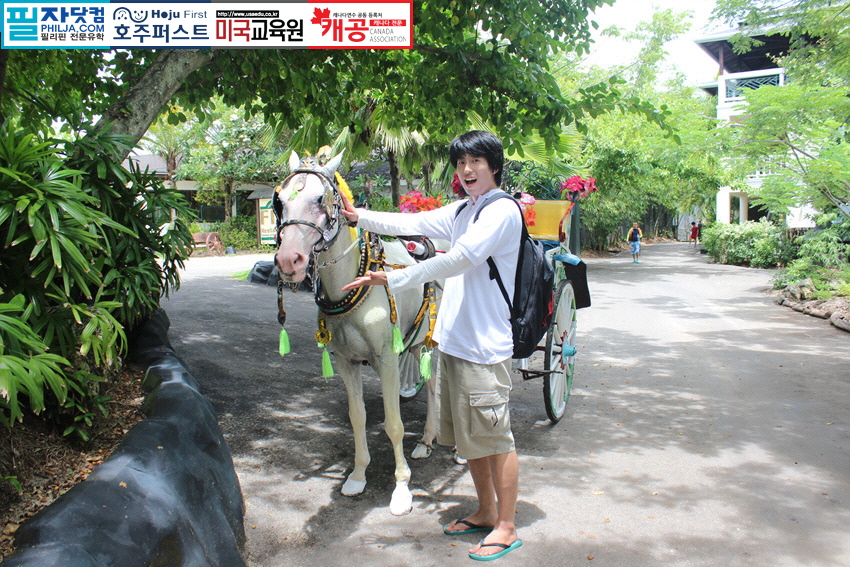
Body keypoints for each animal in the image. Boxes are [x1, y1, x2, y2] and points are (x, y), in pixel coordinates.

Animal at [273, 150, 440, 516]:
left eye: (320, 200)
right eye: (279, 202)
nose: (289, 261)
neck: (353, 286)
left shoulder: (387, 359)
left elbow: (393, 423)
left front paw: (402, 487)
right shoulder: (346, 361)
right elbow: (357, 417)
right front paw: (358, 475)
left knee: (443, 385)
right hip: (417, 342)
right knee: (427, 376)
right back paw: (425, 442)